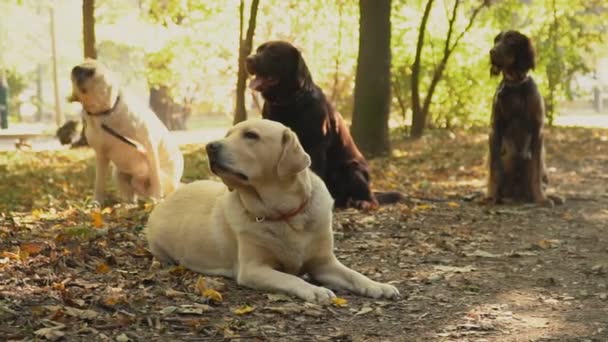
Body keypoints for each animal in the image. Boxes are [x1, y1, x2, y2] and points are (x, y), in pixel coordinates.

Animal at [145, 119, 402, 300]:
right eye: (228, 135)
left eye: (251, 135)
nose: (210, 146)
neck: (284, 215)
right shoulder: (253, 269)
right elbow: (290, 279)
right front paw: (314, 290)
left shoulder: (325, 263)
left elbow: (354, 274)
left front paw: (378, 285)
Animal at [245, 41, 402, 210]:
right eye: (258, 50)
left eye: (273, 53)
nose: (248, 59)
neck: (289, 101)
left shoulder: (316, 146)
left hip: (351, 169)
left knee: (372, 199)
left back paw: (362, 202)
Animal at [486, 30, 560, 204]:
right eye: (496, 40)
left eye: (511, 41)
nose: (491, 52)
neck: (515, 84)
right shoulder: (495, 130)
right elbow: (494, 170)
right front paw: (491, 196)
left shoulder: (537, 131)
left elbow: (535, 172)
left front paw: (541, 198)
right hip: (509, 157)